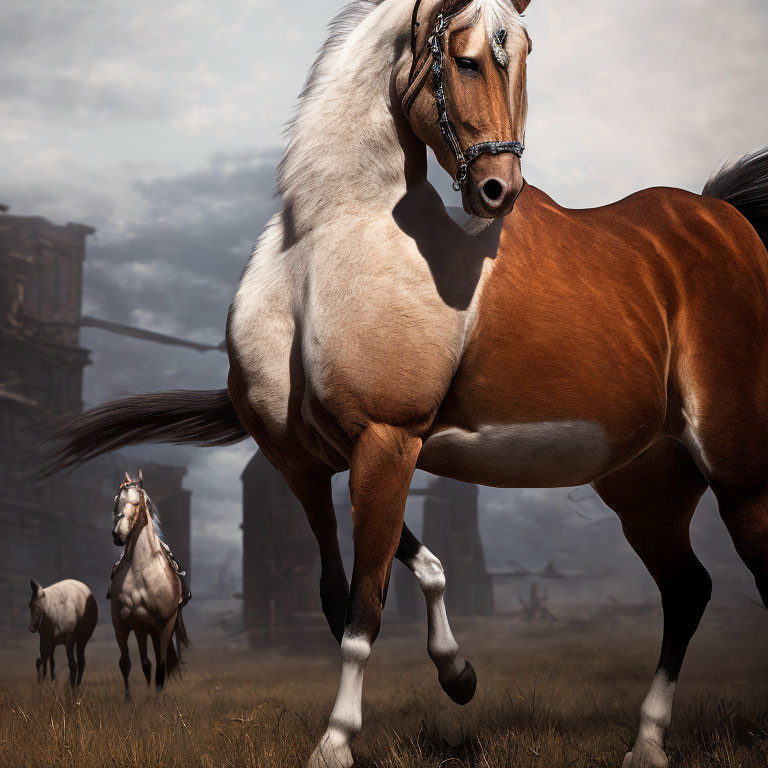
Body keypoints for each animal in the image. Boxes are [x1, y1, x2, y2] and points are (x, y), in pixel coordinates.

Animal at [46, 1, 768, 768]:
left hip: (737, 469)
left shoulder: (388, 439)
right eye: (465, 59)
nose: (498, 192)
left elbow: (365, 606)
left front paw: (335, 741)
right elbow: (368, 586)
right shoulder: (309, 464)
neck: (321, 253)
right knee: (689, 590)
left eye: (525, 56)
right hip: (644, 485)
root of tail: (721, 219)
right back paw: (648, 744)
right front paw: (458, 675)